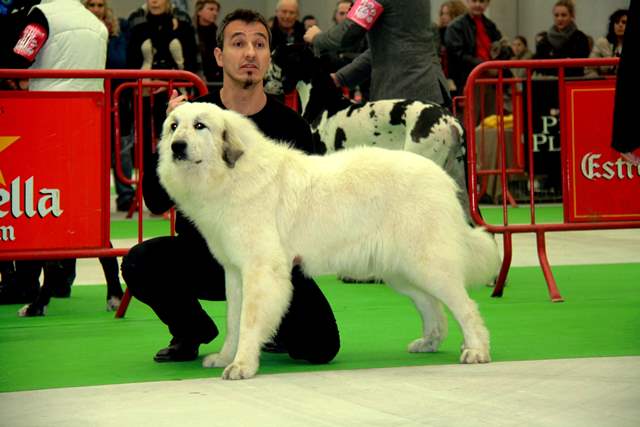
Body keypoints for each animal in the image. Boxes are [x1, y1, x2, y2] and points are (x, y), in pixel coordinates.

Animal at [156, 102, 500, 380]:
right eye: (174, 125)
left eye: (200, 126)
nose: (177, 146)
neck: (232, 173)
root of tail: (442, 178)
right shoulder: (235, 272)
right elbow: (233, 320)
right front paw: (226, 356)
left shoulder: (260, 270)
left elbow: (249, 321)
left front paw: (242, 365)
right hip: (401, 271)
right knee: (432, 306)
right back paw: (429, 342)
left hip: (428, 264)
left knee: (465, 306)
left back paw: (477, 350)